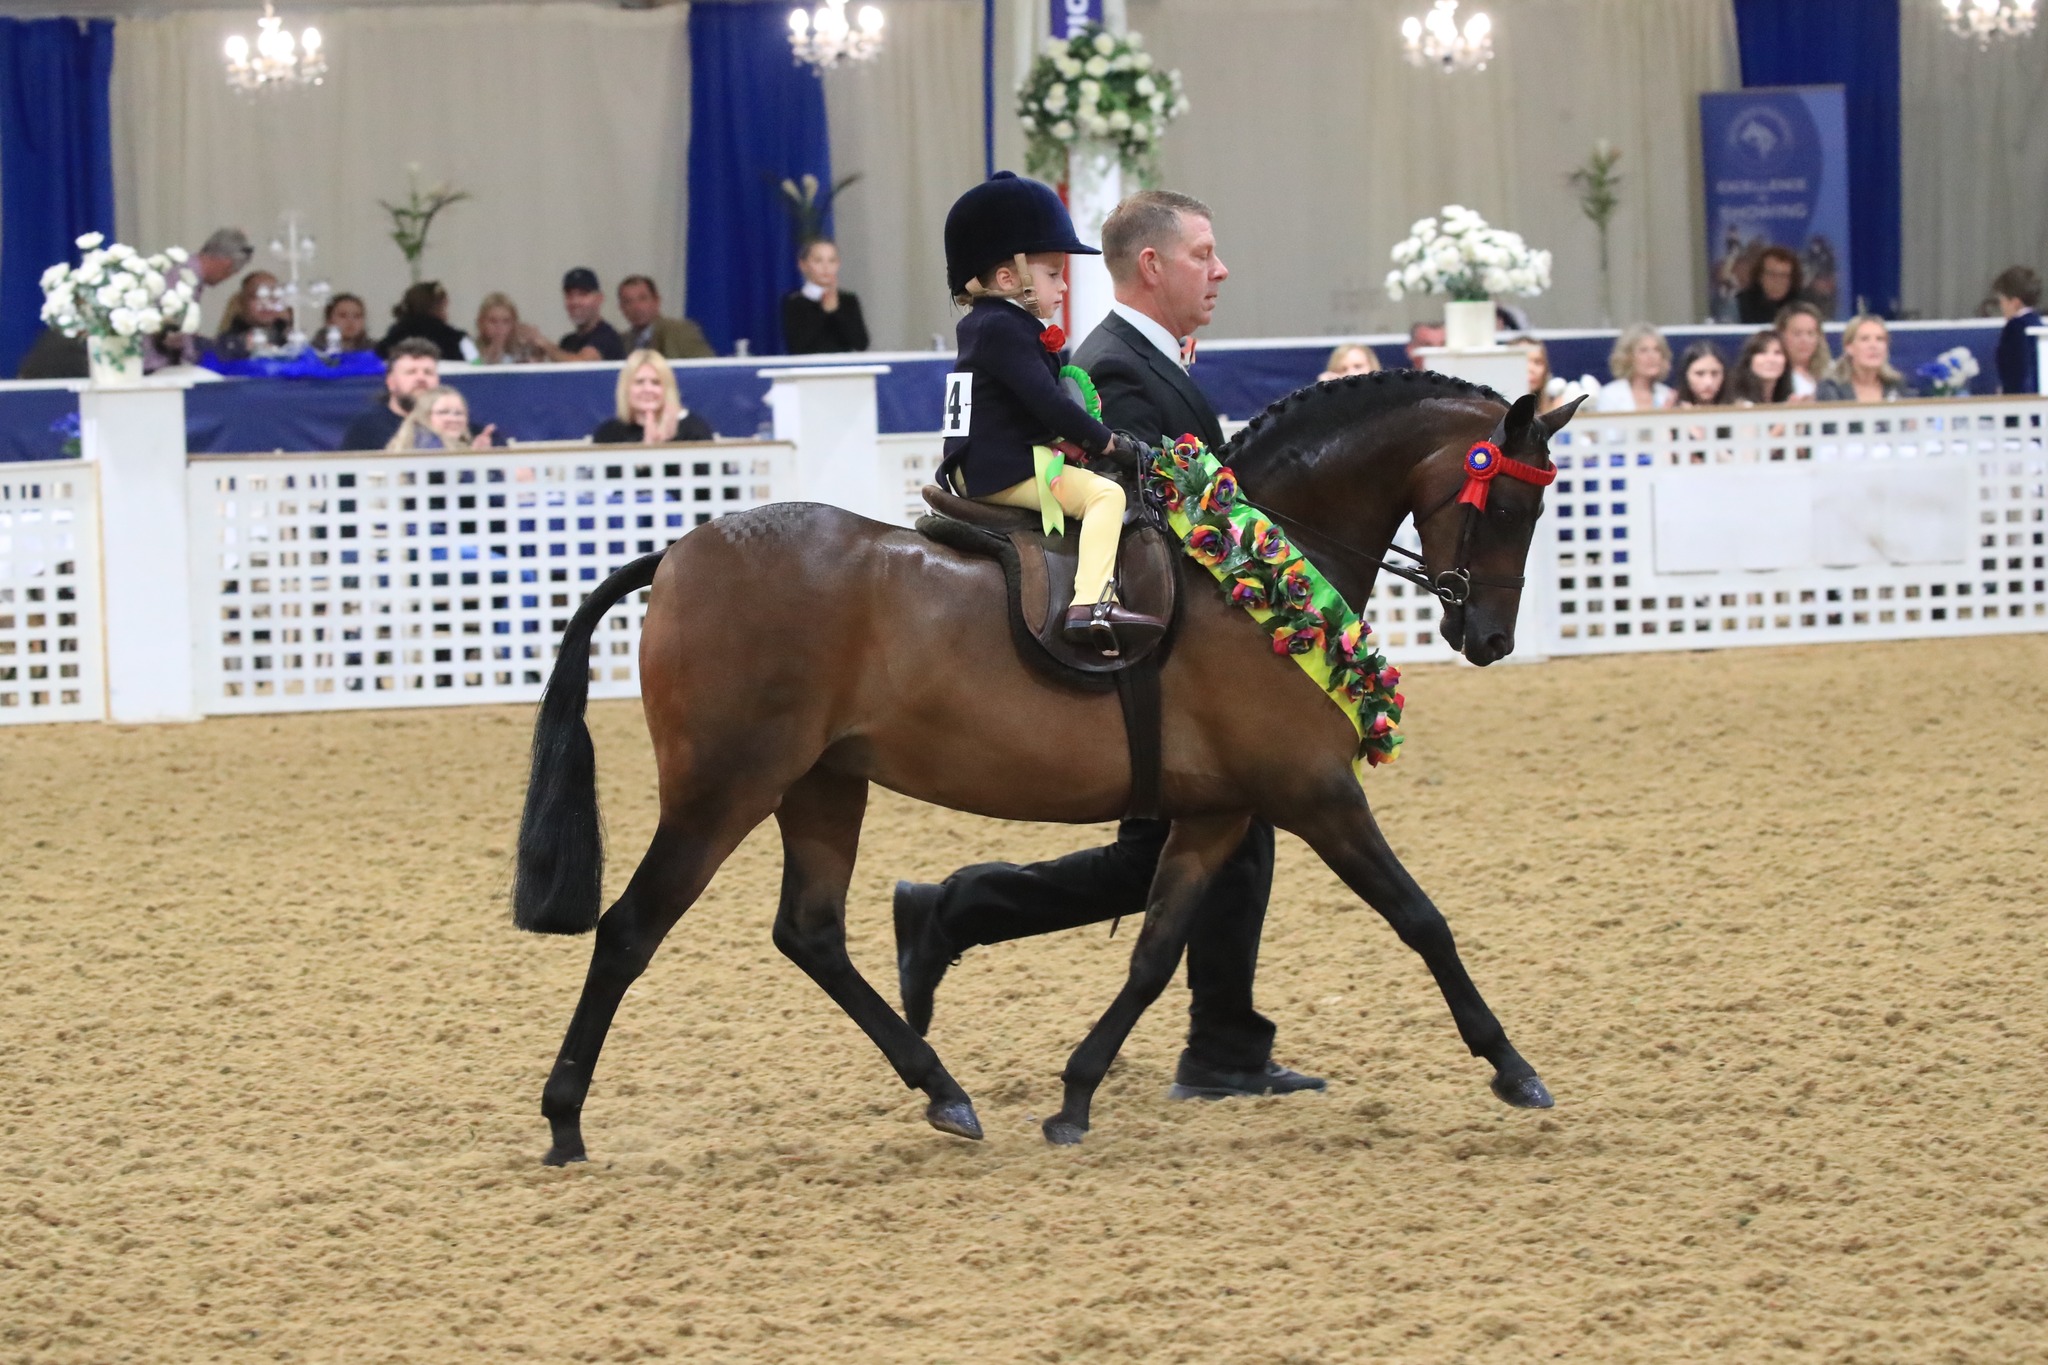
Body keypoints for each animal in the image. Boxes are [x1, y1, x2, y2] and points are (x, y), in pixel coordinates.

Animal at [513, 371, 1579, 1164]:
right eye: (1509, 499)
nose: (1488, 636)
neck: (1253, 575)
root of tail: (678, 553)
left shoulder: (1219, 813)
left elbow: (1155, 951)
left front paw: (1074, 1096)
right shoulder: (1316, 795)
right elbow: (1422, 919)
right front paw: (1512, 1066)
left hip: (822, 785)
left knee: (810, 933)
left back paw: (943, 1086)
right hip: (724, 788)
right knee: (630, 930)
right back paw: (564, 1119)